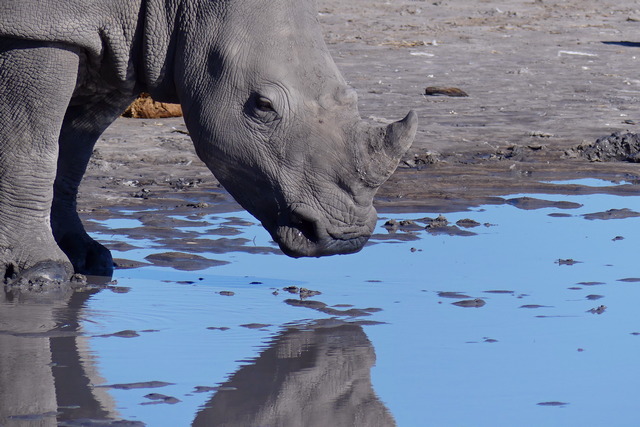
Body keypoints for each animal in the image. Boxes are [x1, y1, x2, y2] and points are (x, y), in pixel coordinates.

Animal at [0, 0, 417, 283]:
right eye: (262, 105)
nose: (344, 239)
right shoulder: (38, 30)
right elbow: (31, 148)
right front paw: (42, 272)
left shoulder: (115, 46)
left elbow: (72, 153)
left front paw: (88, 257)